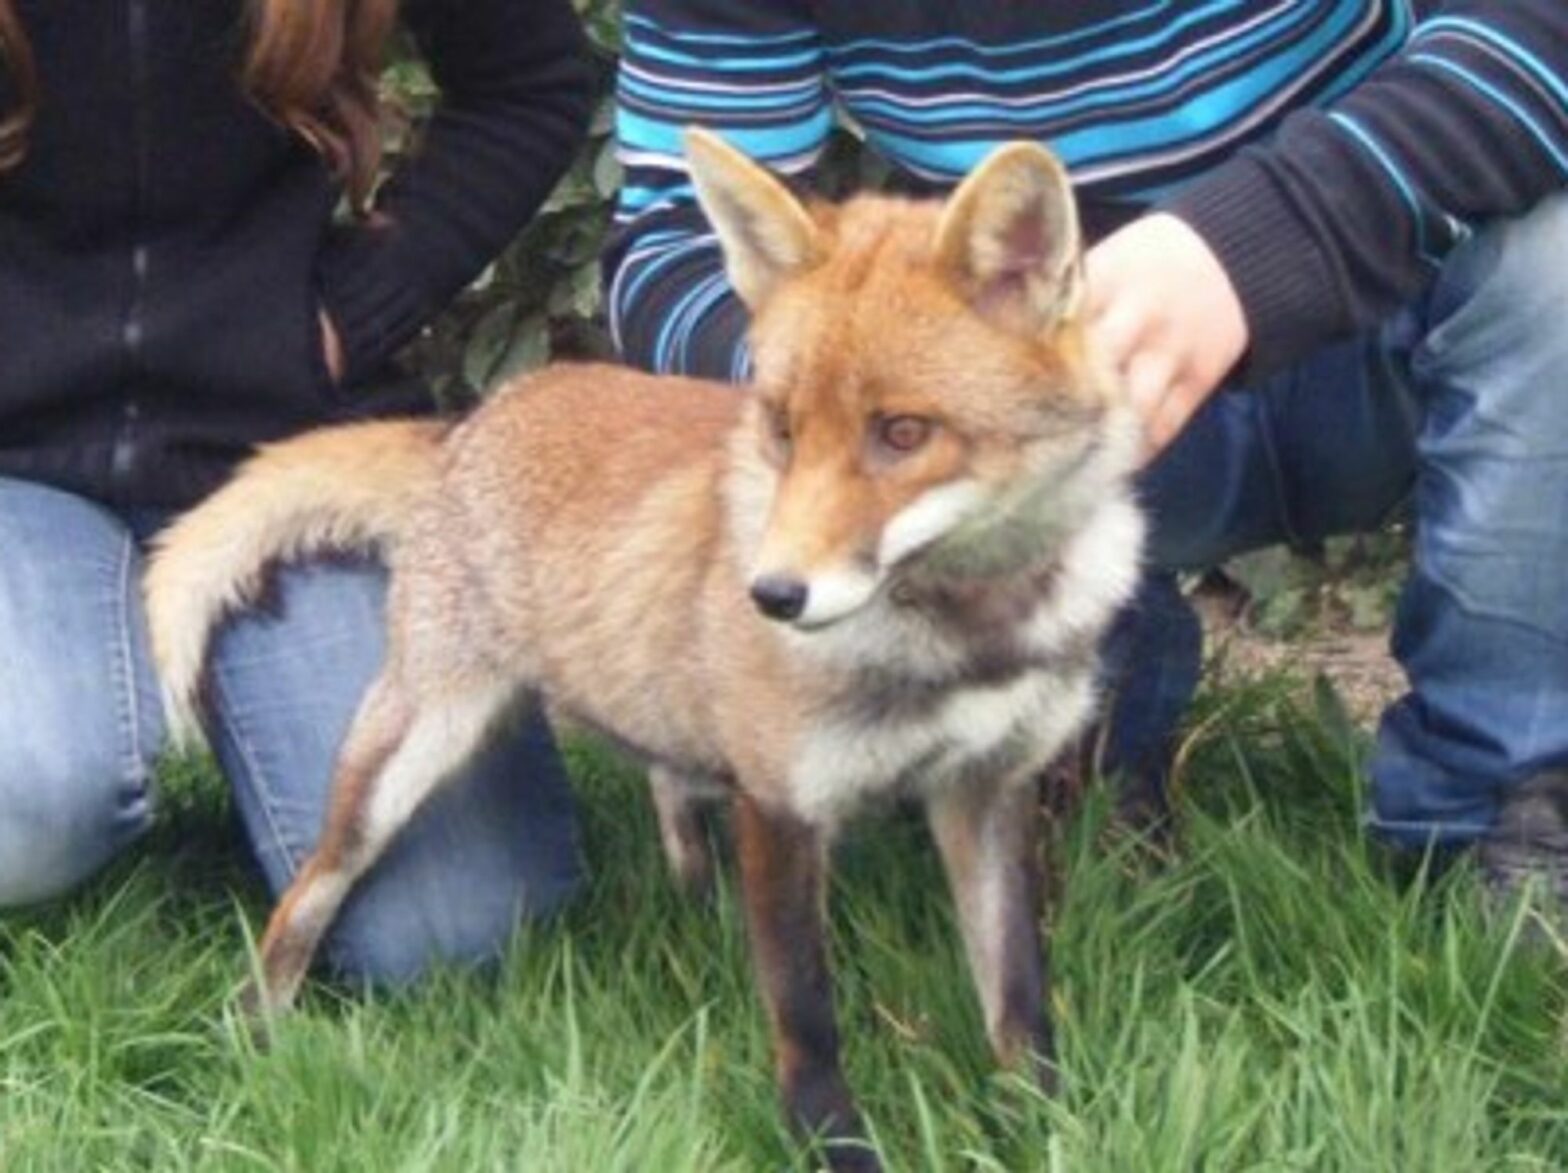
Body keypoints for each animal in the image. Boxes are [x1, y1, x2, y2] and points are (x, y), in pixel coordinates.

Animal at [143, 129, 1144, 1170]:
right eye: (783, 428)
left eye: (903, 432)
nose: (771, 595)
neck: (966, 634)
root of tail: (471, 419)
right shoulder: (782, 804)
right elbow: (807, 1021)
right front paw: (834, 1147)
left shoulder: (985, 788)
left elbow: (1018, 1005)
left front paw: (1047, 1128)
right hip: (400, 757)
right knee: (307, 893)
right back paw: (256, 1031)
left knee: (670, 788)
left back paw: (699, 907)